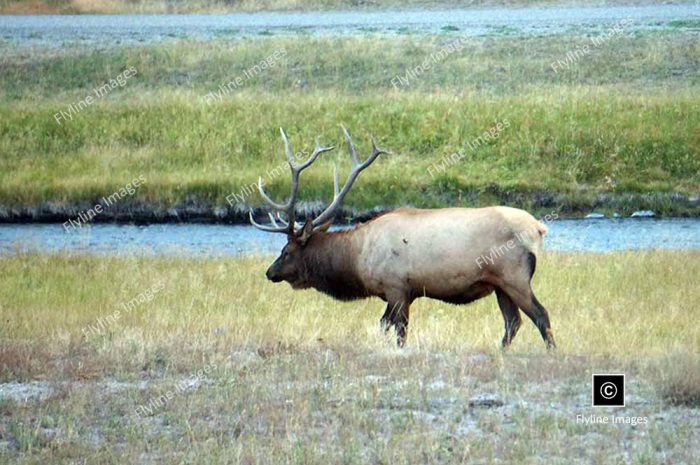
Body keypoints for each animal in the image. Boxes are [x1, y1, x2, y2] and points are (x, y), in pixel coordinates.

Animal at [249, 127, 556, 348]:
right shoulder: (397, 293)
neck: (357, 258)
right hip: (499, 285)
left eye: (287, 251)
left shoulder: (397, 287)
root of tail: (538, 228)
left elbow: (399, 331)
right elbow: (383, 325)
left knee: (540, 315)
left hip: (514, 276)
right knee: (513, 322)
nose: (269, 272)